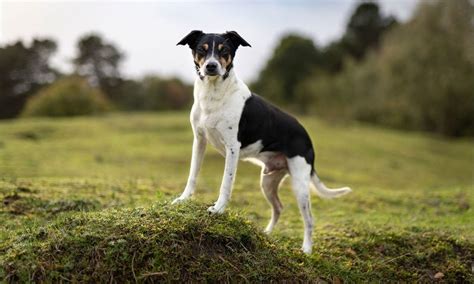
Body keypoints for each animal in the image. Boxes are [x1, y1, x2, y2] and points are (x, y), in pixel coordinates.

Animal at [174, 30, 352, 253]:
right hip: (268, 181)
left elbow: (226, 183)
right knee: (279, 207)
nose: (211, 66)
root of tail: (307, 138)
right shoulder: (199, 141)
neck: (214, 94)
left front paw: (218, 209)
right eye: (201, 49)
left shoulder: (232, 149)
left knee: (309, 219)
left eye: (224, 50)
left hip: (300, 184)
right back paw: (266, 234)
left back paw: (306, 250)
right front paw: (183, 199)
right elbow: (192, 175)